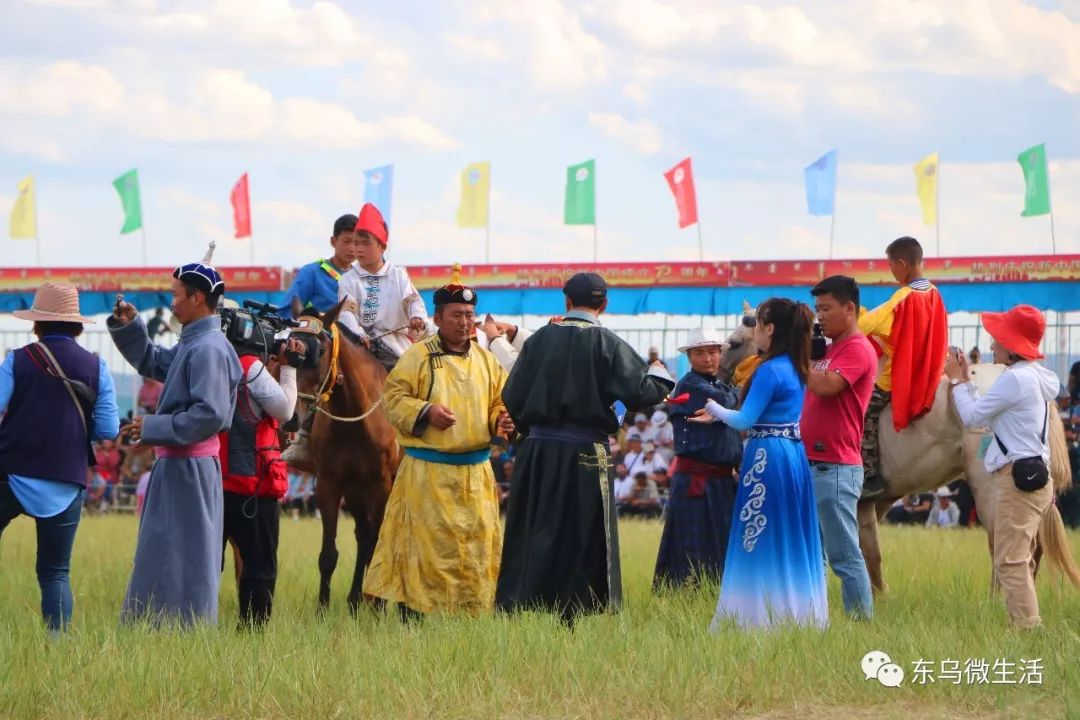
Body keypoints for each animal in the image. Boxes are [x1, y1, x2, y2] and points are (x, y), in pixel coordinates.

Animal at [290, 299, 400, 612]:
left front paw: (378, 605)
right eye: (288, 349)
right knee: (362, 535)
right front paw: (322, 608)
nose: (294, 417)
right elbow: (329, 554)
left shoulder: (380, 484)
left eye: (320, 351)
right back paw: (354, 599)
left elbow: (377, 540)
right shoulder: (331, 483)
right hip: (354, 491)